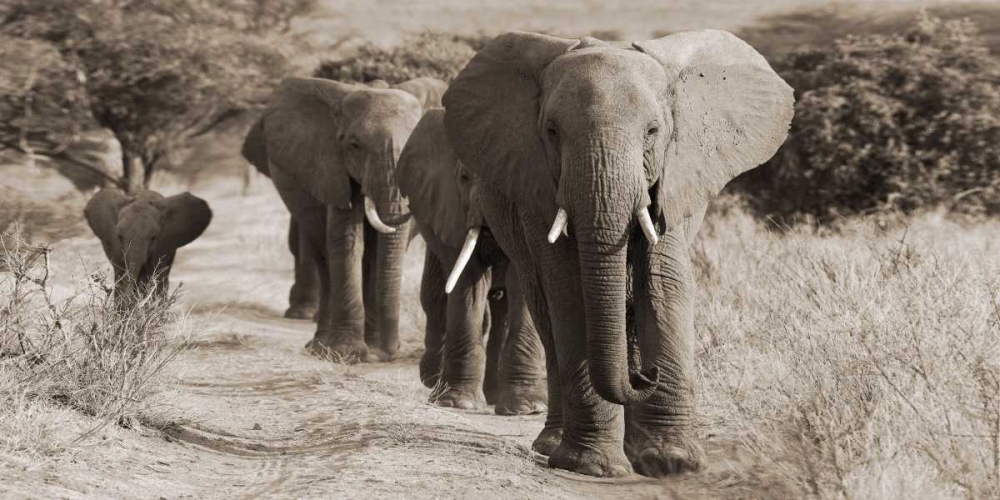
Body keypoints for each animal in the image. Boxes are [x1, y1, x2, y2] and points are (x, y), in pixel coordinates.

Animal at [242, 76, 447, 361]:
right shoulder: (333, 170)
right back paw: (319, 347)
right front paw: (347, 353)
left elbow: (381, 251)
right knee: (324, 257)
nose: (391, 352)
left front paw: (372, 353)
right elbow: (348, 241)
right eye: (354, 146)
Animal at [397, 108, 547, 414]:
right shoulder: (450, 208)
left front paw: (527, 408)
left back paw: (494, 395)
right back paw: (437, 383)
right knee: (435, 297)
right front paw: (457, 403)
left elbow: (521, 283)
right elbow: (467, 283)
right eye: (464, 177)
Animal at [442, 31, 793, 477]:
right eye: (552, 131)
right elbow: (570, 290)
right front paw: (593, 467)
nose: (647, 375)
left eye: (654, 131)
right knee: (547, 314)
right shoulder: (537, 186)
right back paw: (554, 445)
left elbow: (663, 282)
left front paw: (671, 462)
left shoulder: (673, 179)